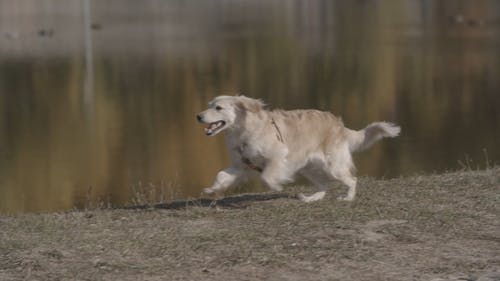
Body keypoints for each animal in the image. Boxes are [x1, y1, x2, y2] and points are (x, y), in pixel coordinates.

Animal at [197, 95, 400, 201]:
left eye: (218, 107)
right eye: (209, 106)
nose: (198, 116)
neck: (243, 131)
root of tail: (339, 125)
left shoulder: (278, 155)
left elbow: (267, 176)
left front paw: (278, 184)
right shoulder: (240, 166)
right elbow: (221, 175)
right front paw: (213, 190)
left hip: (332, 166)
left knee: (352, 180)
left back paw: (348, 198)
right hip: (307, 168)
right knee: (324, 185)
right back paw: (311, 198)